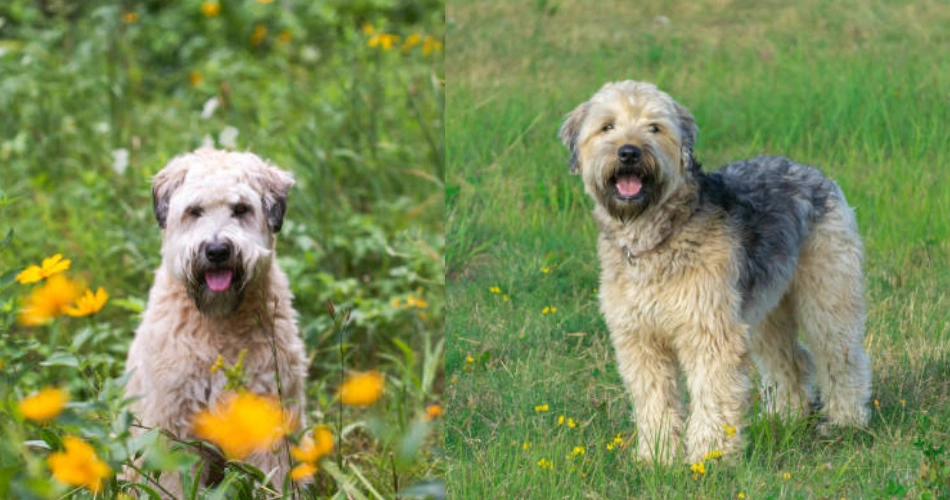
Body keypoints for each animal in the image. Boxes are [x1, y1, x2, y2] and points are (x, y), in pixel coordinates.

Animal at [560, 80, 872, 462]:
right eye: (607, 126)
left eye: (654, 127)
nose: (629, 152)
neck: (656, 237)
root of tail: (815, 173)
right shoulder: (640, 338)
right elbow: (654, 401)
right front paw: (657, 458)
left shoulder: (709, 328)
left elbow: (713, 395)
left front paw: (710, 458)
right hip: (764, 310)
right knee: (794, 360)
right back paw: (784, 418)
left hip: (827, 294)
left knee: (842, 357)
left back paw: (846, 421)